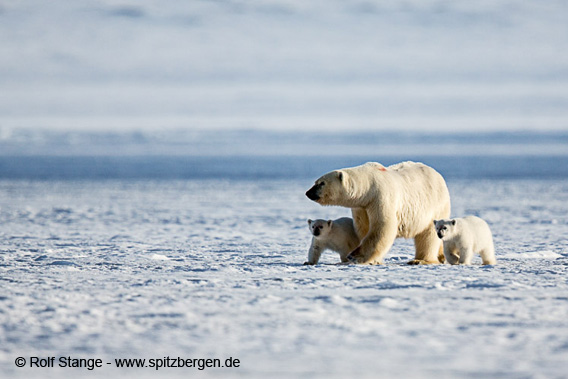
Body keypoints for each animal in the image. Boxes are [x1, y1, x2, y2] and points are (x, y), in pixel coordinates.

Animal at [304, 162, 450, 266]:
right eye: (315, 182)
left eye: (321, 183)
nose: (308, 193)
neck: (369, 186)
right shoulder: (361, 206)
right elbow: (364, 228)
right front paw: (374, 260)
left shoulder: (381, 196)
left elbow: (382, 227)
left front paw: (356, 256)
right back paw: (440, 256)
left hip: (435, 204)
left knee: (428, 235)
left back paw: (420, 260)